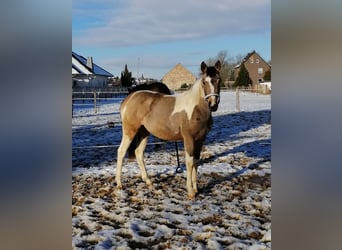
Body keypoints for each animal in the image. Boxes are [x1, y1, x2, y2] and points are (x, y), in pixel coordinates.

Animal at [115, 59, 222, 198]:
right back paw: (119, 184)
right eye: (204, 82)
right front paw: (190, 191)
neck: (195, 109)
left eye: (219, 80)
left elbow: (196, 162)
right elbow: (189, 162)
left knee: (138, 153)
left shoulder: (200, 139)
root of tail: (128, 99)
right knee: (121, 152)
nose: (213, 105)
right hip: (130, 131)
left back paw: (148, 181)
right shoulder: (189, 138)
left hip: (144, 133)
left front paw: (196, 189)